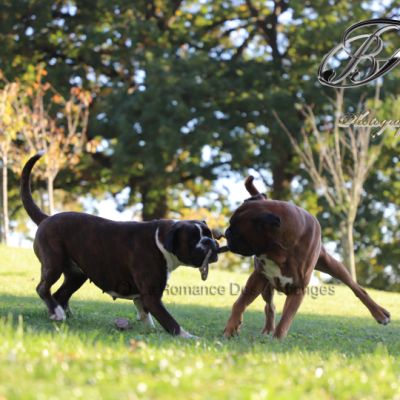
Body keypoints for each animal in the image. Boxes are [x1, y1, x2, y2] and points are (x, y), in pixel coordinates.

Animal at [21, 153, 220, 337]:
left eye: (208, 233)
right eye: (193, 239)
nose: (209, 241)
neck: (161, 240)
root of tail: (46, 218)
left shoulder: (142, 296)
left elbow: (145, 315)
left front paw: (149, 330)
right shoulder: (152, 296)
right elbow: (170, 321)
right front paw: (188, 337)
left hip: (77, 275)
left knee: (60, 294)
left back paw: (59, 313)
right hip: (54, 263)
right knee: (43, 288)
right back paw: (57, 313)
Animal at [223, 176, 391, 339]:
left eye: (236, 230)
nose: (226, 233)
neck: (278, 249)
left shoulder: (298, 290)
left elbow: (285, 320)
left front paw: (277, 339)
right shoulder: (257, 278)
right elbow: (239, 303)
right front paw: (231, 328)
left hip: (332, 265)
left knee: (358, 289)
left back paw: (380, 314)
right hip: (266, 287)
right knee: (270, 306)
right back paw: (268, 328)